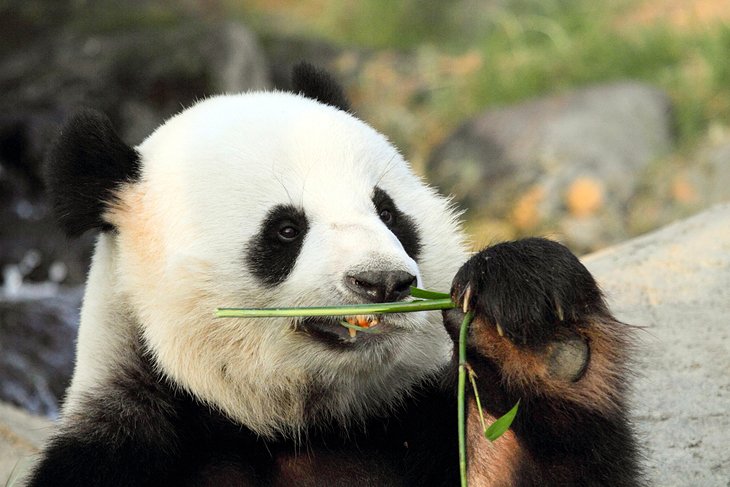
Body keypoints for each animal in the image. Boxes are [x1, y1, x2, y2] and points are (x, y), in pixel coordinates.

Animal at [29, 65, 636, 487]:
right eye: (285, 230)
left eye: (388, 212)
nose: (383, 282)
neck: (299, 426)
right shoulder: (127, 447)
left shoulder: (415, 425)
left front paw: (532, 325)